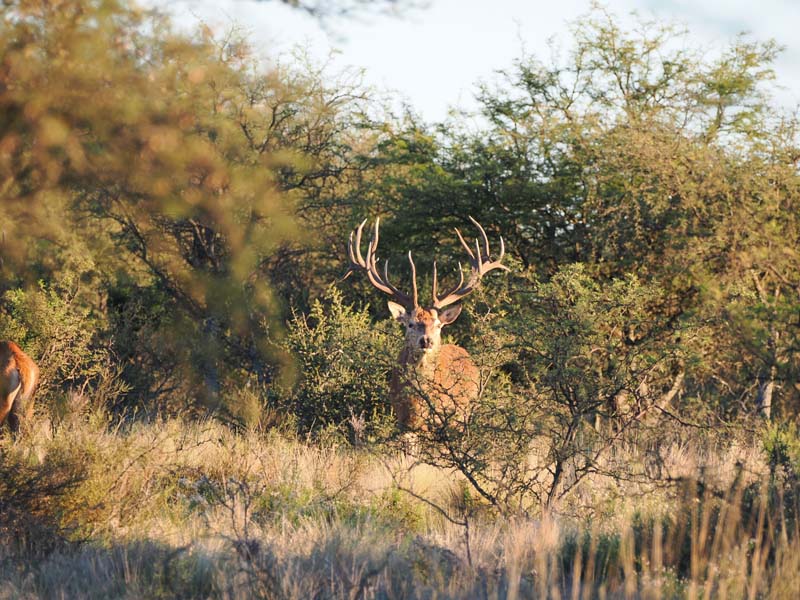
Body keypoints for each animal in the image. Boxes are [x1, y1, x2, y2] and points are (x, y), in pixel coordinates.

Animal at [346, 217, 508, 431]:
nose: (426, 341)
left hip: (466, 411)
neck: (416, 407)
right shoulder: (401, 418)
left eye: (438, 325)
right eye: (410, 324)